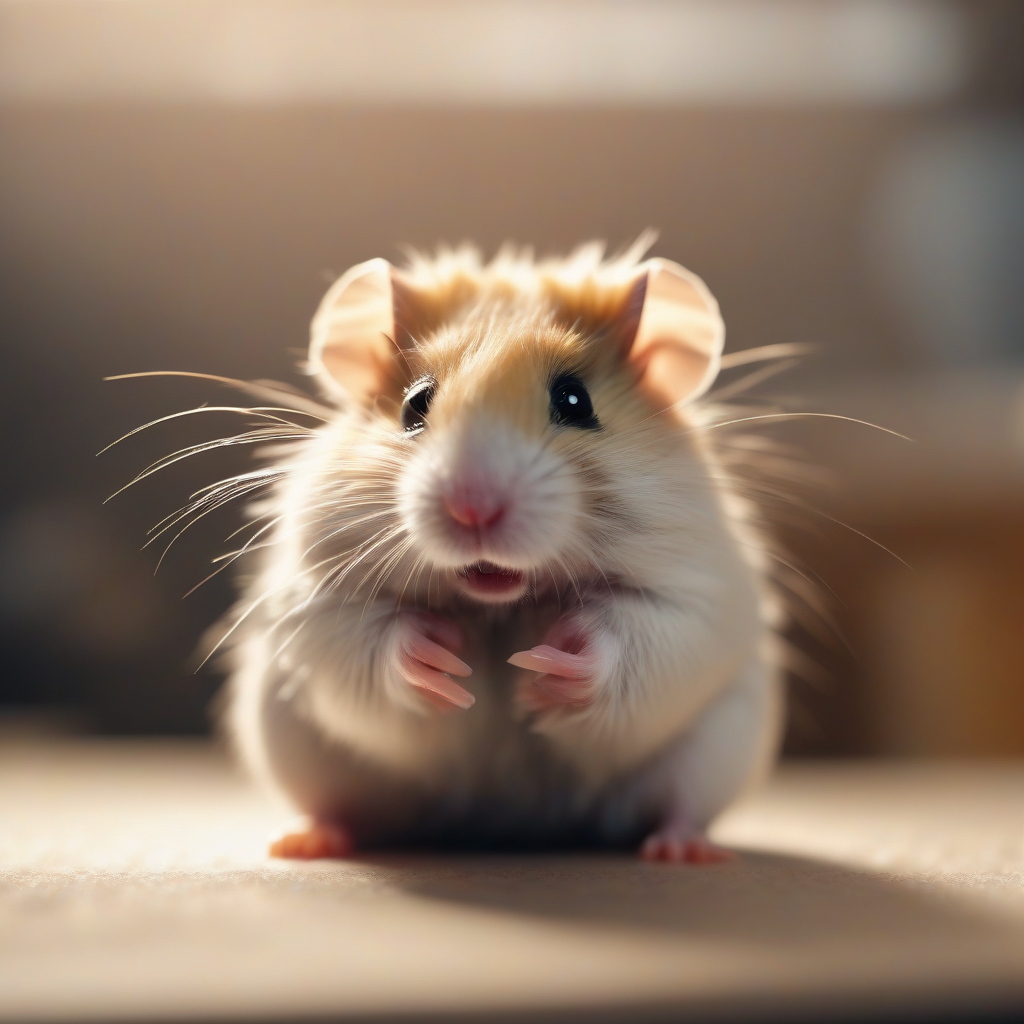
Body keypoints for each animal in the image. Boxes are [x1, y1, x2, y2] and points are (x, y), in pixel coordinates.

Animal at [224, 242, 782, 863]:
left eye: (576, 400)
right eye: (414, 404)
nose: (473, 508)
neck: (500, 603)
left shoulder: (693, 597)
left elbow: (629, 640)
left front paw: (539, 670)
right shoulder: (316, 597)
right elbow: (367, 641)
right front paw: (445, 658)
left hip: (712, 755)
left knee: (679, 806)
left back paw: (683, 850)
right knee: (340, 806)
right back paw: (304, 841)